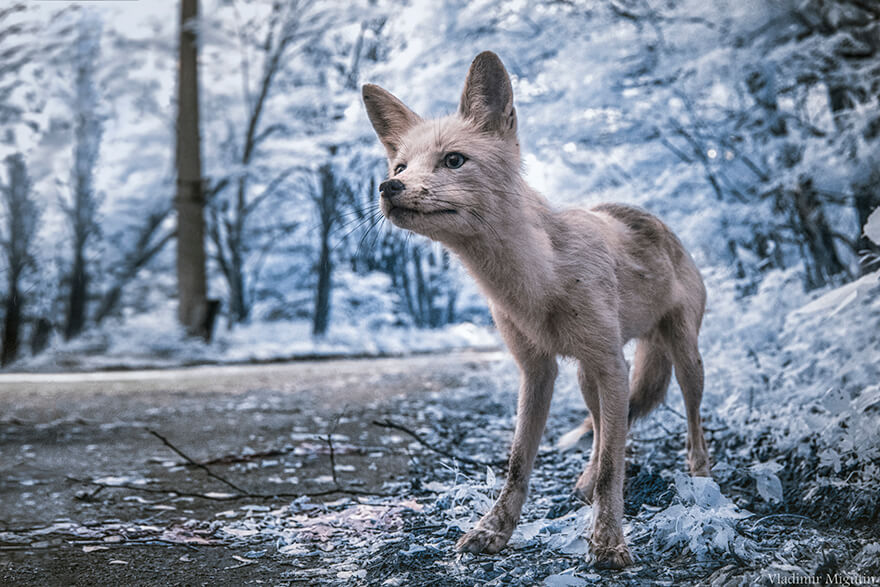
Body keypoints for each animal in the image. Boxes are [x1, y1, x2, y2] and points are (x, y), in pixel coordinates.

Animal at [360, 51, 712, 568]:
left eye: (453, 160)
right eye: (401, 164)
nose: (388, 186)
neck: (537, 282)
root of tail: (652, 219)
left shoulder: (611, 363)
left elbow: (614, 466)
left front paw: (609, 542)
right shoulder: (537, 369)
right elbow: (519, 462)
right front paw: (494, 531)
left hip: (680, 357)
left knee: (689, 420)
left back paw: (702, 478)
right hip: (589, 376)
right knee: (603, 430)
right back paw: (584, 482)